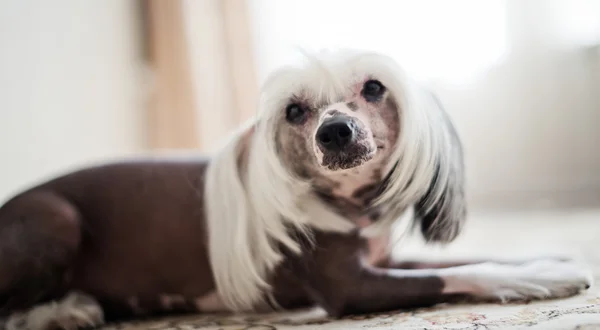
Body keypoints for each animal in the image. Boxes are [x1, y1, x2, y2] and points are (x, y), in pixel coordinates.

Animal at [0, 49, 592, 330]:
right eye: (294, 110)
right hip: (58, 220)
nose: (335, 131)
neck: (351, 204)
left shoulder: (385, 258)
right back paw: (63, 312)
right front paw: (541, 278)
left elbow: (470, 257)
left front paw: (544, 261)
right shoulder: (350, 287)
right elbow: (458, 274)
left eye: (373, 88)